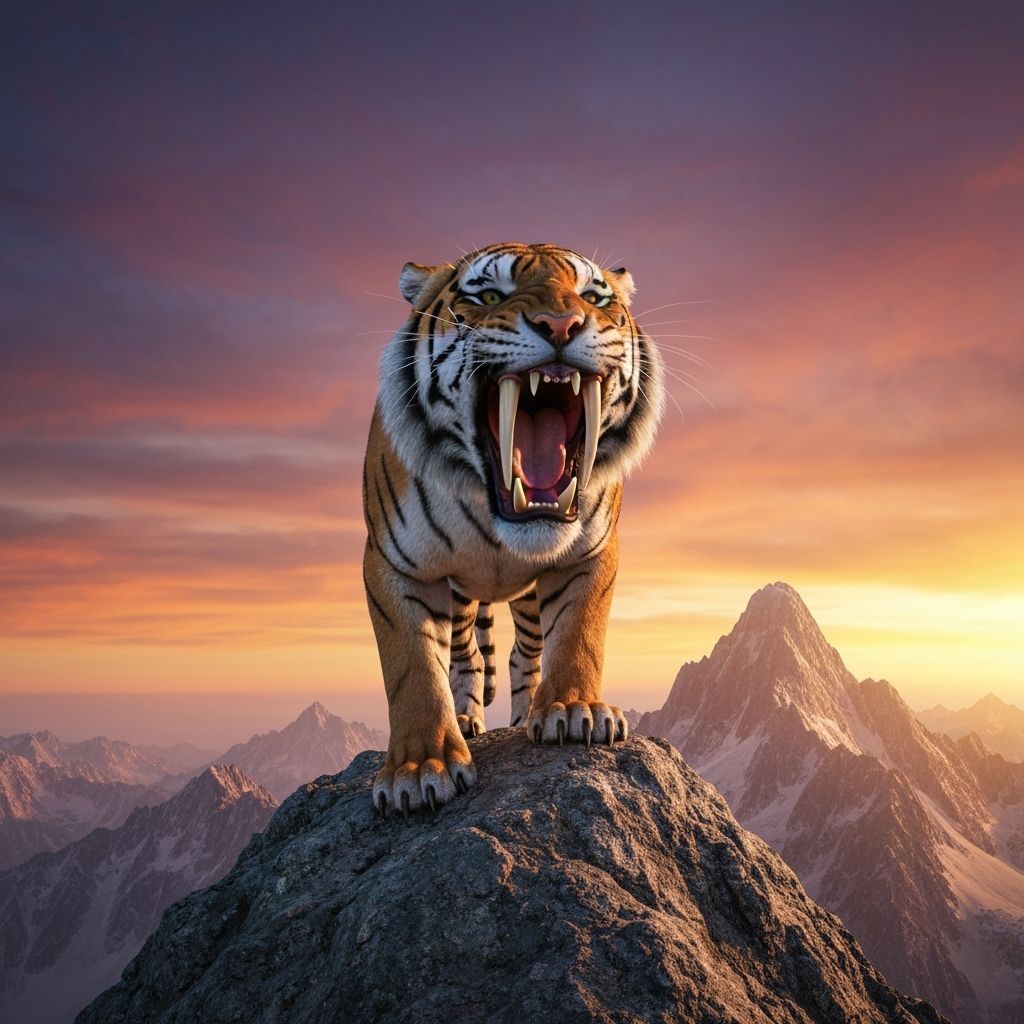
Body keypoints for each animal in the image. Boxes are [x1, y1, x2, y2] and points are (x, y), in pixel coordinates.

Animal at [362, 242, 664, 816]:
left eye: (594, 297)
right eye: (488, 296)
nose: (562, 324)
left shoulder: (591, 552)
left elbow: (578, 632)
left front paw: (573, 709)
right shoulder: (393, 565)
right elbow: (413, 668)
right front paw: (420, 768)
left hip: (525, 600)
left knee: (525, 654)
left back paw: (528, 713)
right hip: (458, 597)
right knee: (465, 657)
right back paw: (465, 719)